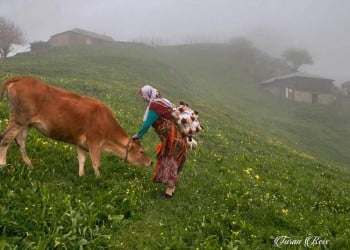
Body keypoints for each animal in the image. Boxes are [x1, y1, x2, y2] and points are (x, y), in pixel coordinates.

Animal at [0, 75, 152, 176]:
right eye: (141, 151)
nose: (150, 162)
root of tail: (22, 78)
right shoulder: (94, 141)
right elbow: (97, 164)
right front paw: (99, 181)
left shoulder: (81, 144)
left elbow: (82, 161)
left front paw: (81, 177)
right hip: (19, 119)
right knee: (5, 139)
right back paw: (3, 165)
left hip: (26, 123)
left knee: (20, 141)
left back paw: (29, 165)